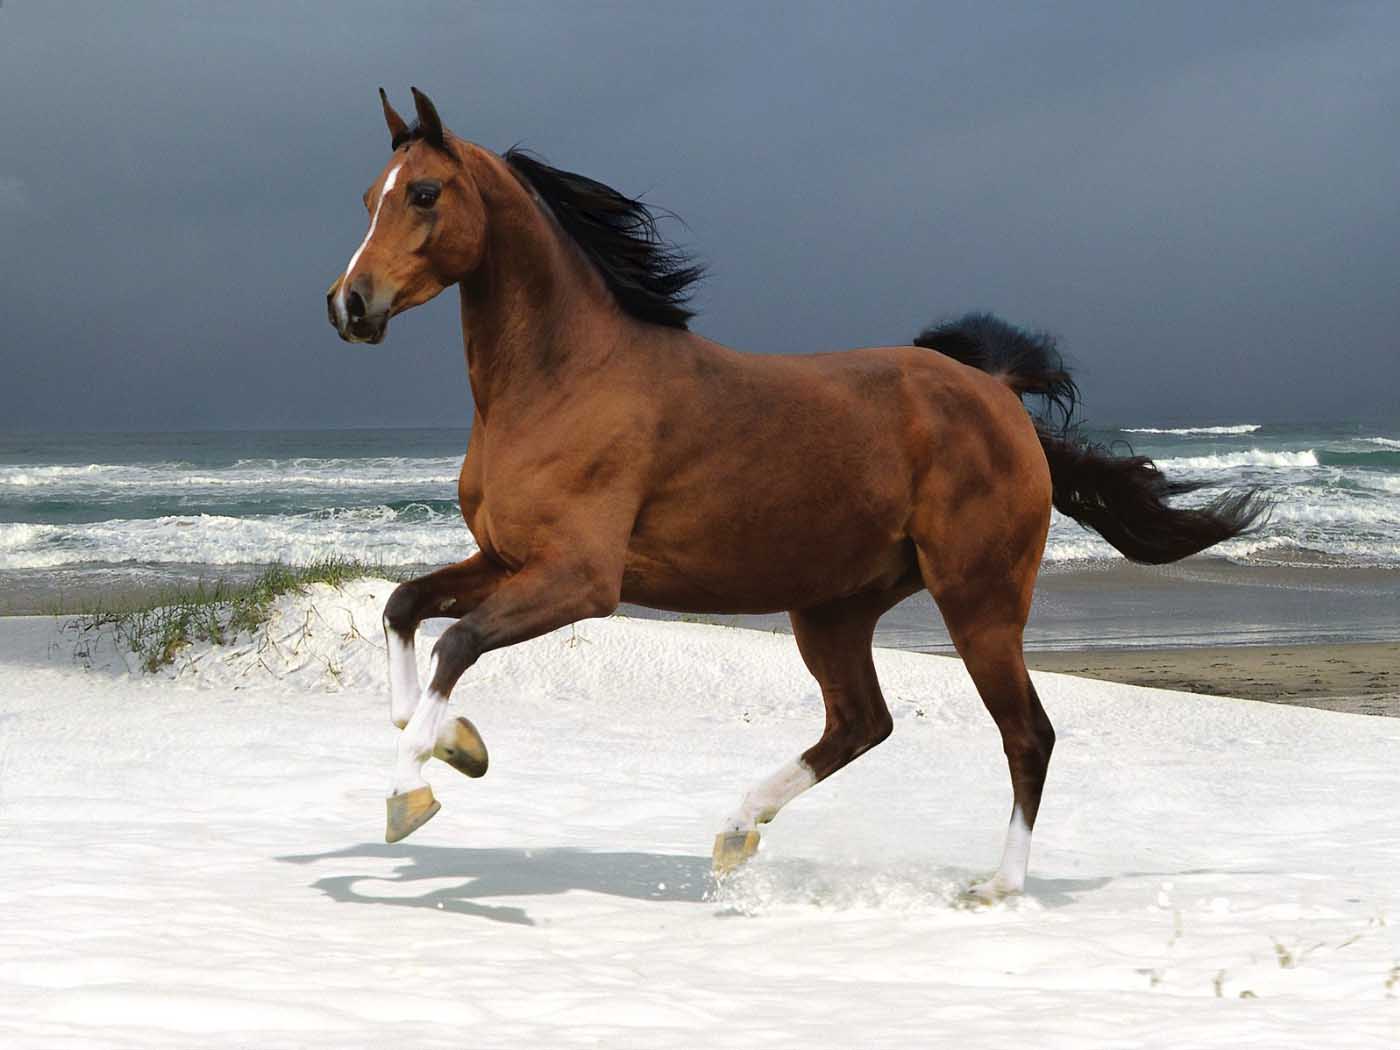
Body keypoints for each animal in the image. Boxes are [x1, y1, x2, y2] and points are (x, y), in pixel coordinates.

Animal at [322, 86, 1265, 901]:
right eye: (370, 196)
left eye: (426, 194)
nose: (349, 304)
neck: (562, 379)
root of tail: (995, 392)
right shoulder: (506, 558)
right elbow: (404, 608)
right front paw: (453, 745)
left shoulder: (581, 581)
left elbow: (457, 643)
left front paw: (411, 792)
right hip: (835, 607)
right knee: (862, 723)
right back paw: (736, 830)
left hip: (980, 600)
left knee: (1025, 734)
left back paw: (996, 887)